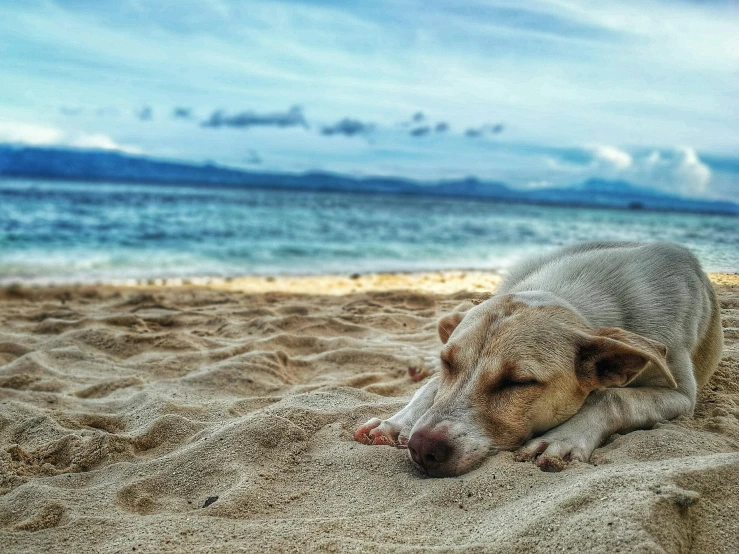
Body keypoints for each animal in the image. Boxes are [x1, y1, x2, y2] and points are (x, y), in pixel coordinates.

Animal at [352, 242, 724, 474]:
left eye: (518, 382)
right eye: (448, 364)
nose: (422, 448)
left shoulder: (681, 394)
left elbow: (611, 396)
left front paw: (563, 437)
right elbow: (431, 389)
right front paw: (399, 420)